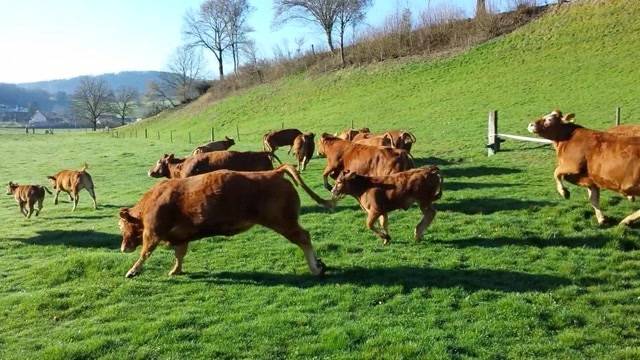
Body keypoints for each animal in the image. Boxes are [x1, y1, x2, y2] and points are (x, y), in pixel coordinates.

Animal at [119, 165, 336, 278]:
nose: (122, 248)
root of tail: (274, 172)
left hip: (284, 222)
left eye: (122, 227)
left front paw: (132, 270)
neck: (153, 200)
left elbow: (145, 253)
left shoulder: (152, 233)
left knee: (304, 238)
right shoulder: (181, 236)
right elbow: (179, 254)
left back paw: (315, 268)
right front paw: (176, 270)